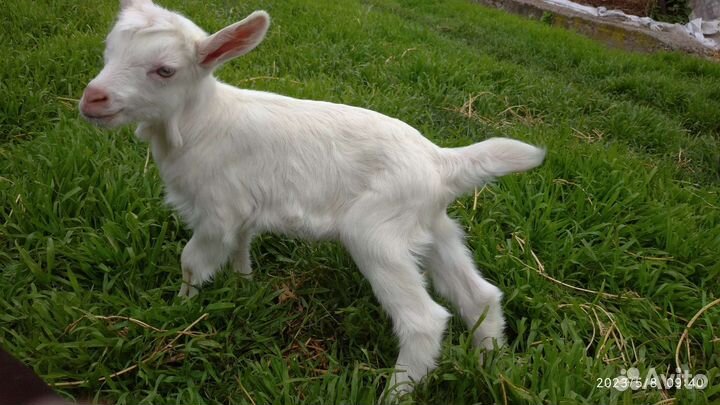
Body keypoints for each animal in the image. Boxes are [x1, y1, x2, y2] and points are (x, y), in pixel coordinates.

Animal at [79, 0, 545, 396]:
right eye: (108, 51)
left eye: (165, 71)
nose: (92, 99)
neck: (198, 123)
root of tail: (441, 162)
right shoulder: (244, 208)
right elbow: (241, 249)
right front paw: (243, 286)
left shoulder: (217, 210)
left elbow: (192, 261)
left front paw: (180, 311)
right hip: (433, 227)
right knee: (480, 296)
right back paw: (492, 366)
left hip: (377, 233)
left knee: (424, 320)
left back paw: (394, 393)